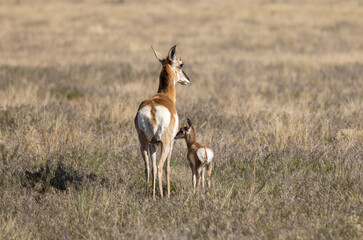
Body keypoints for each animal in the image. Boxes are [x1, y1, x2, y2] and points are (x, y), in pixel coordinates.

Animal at [134, 45, 191, 199]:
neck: (163, 96)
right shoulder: (171, 143)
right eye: (181, 64)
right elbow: (167, 167)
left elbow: (152, 167)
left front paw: (153, 194)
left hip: (144, 144)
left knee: (148, 167)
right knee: (160, 166)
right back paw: (162, 196)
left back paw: (149, 195)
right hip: (165, 144)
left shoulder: (153, 144)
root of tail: (153, 108)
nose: (187, 79)